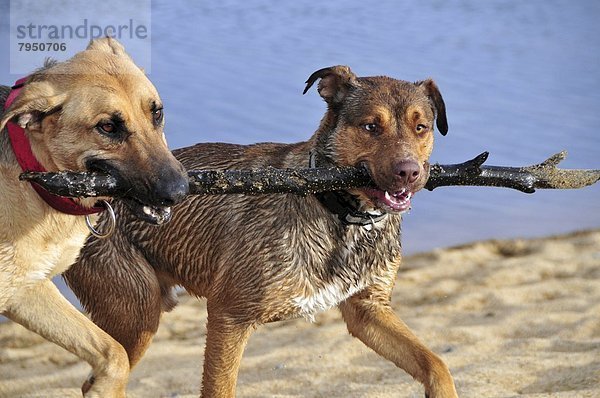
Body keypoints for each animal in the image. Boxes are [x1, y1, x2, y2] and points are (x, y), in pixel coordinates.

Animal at [0, 38, 188, 398]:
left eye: (156, 112)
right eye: (108, 127)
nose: (179, 191)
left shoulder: (25, 290)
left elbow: (113, 352)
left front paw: (101, 387)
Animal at [67, 66, 460, 398]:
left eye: (421, 127)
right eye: (370, 127)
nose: (409, 172)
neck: (340, 214)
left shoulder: (368, 311)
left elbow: (436, 365)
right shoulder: (229, 315)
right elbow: (219, 389)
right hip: (136, 314)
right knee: (98, 381)